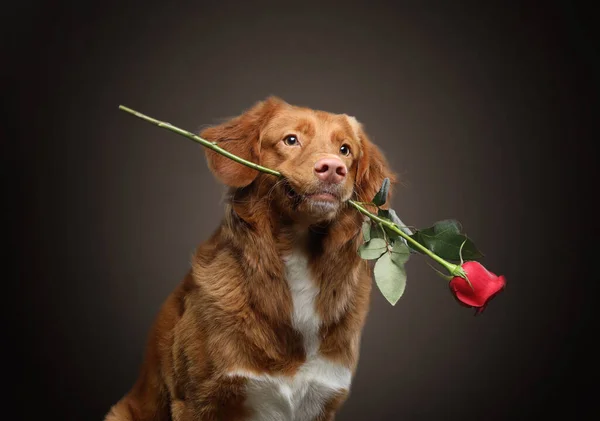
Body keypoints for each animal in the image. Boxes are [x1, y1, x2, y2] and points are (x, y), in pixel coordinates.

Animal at [105, 97, 396, 418]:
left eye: (345, 150)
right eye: (291, 140)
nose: (333, 168)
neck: (299, 255)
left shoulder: (322, 399)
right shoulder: (196, 401)